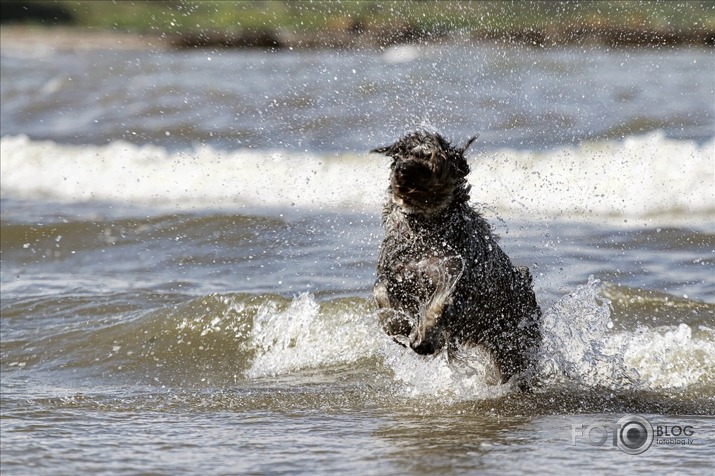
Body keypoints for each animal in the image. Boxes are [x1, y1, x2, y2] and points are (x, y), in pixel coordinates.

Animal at [374, 129, 544, 386]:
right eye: (399, 155)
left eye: (427, 157)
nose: (402, 170)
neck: (425, 226)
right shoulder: (397, 272)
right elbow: (382, 293)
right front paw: (401, 326)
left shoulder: (458, 277)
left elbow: (440, 304)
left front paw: (424, 338)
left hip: (512, 341)